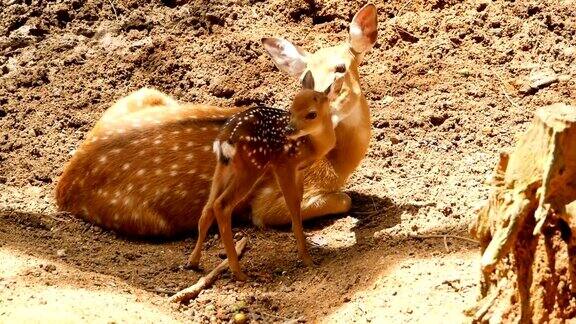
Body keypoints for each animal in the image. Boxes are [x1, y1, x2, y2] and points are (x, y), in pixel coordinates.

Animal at [55, 2, 378, 235]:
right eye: (305, 79)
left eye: (341, 68)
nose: (315, 114)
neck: (335, 165)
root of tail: (63, 188)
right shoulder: (270, 203)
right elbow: (345, 199)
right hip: (146, 219)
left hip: (144, 94)